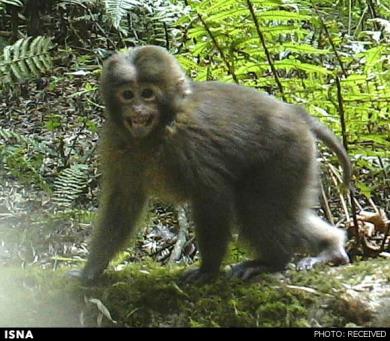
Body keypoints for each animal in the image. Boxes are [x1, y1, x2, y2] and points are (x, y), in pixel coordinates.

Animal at [70, 46, 350, 282]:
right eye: (128, 95)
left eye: (147, 94)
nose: (137, 110)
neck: (160, 128)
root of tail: (297, 115)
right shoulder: (115, 140)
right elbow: (123, 200)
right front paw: (91, 269)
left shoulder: (188, 138)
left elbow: (212, 195)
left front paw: (208, 269)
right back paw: (330, 248)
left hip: (289, 154)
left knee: (257, 209)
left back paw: (273, 262)